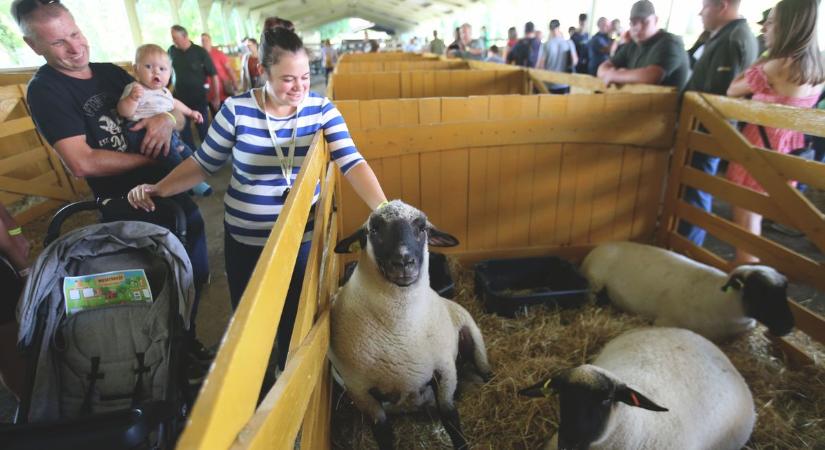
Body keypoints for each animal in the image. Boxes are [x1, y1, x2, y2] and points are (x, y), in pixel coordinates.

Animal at [328, 201, 490, 450]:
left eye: (422, 228)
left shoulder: (444, 370)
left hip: (475, 344)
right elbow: (383, 432)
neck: (400, 329)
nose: (404, 262)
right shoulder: (360, 390)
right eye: (374, 230)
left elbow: (450, 417)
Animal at [576, 243, 796, 342]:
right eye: (760, 291)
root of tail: (599, 247)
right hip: (595, 280)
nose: (788, 327)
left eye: (785, 289)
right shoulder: (664, 322)